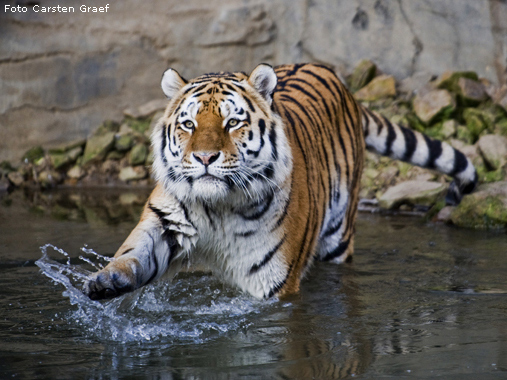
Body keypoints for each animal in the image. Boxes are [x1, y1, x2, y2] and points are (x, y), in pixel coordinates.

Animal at [82, 61, 476, 300]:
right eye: (188, 125)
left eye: (232, 123)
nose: (204, 158)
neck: (217, 207)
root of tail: (340, 81)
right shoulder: (167, 222)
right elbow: (132, 253)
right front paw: (106, 280)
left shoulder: (271, 282)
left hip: (338, 237)